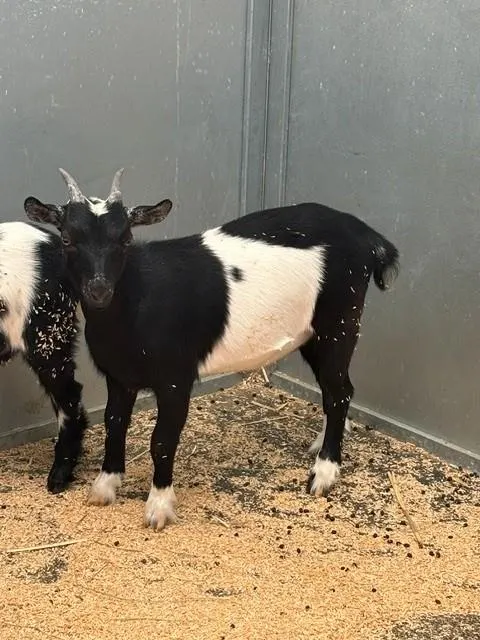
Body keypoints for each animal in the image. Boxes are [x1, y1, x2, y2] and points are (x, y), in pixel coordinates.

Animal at [24, 168, 399, 531]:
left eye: (126, 239)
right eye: (67, 239)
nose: (99, 290)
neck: (137, 300)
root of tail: (369, 237)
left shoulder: (176, 377)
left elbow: (162, 440)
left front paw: (159, 507)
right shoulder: (119, 375)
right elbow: (114, 424)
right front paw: (104, 486)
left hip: (340, 320)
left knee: (340, 391)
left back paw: (324, 473)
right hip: (312, 333)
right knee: (334, 390)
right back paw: (321, 445)